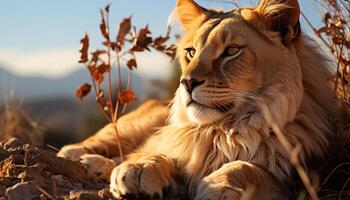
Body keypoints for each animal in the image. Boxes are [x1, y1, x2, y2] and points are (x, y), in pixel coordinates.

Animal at [58, 0, 338, 199]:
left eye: (231, 51)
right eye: (191, 52)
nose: (187, 83)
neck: (225, 131)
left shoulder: (296, 178)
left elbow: (248, 168)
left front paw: (219, 186)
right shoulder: (180, 147)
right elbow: (159, 154)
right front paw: (139, 170)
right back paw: (83, 159)